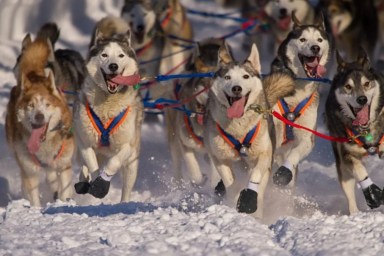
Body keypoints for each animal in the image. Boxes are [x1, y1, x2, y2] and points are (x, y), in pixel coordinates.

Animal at [5, 37, 74, 206]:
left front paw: (64, 203)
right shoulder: (29, 171)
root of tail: (34, 74)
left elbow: (65, 190)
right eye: (31, 105)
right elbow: (34, 197)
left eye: (47, 104)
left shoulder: (63, 164)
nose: (39, 116)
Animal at [72, 27, 144, 200]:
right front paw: (95, 183)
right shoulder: (85, 143)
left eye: (121, 55)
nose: (113, 66)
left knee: (126, 187)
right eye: (104, 55)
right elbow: (92, 166)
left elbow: (114, 162)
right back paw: (83, 181)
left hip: (132, 165)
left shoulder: (127, 146)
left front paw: (101, 183)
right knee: (84, 165)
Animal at [204, 43, 294, 216]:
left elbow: (256, 177)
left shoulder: (264, 154)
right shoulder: (219, 157)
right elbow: (230, 183)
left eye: (245, 76)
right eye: (227, 77)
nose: (236, 88)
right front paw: (233, 202)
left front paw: (248, 200)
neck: (238, 128)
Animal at [270, 12, 330, 186]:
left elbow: (295, 153)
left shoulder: (307, 137)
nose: (315, 48)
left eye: (319, 40)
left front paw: (284, 172)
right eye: (302, 39)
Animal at [326, 48, 384, 214]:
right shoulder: (347, 154)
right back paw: (354, 214)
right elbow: (360, 171)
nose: (362, 99)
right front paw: (371, 192)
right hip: (342, 168)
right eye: (348, 87)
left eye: (367, 83)